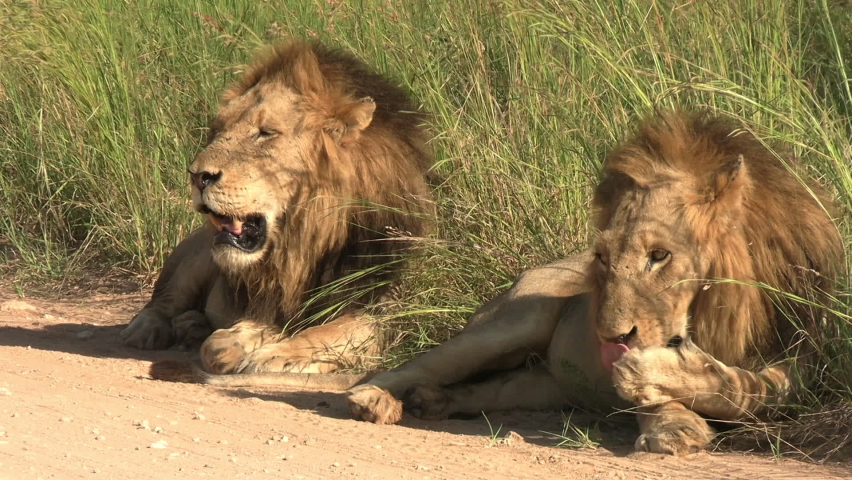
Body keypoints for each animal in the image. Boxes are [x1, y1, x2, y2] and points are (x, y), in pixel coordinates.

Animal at [122, 40, 434, 377]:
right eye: (216, 130)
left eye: (265, 133)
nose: (197, 176)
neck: (305, 246)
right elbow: (230, 339)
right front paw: (252, 341)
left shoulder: (385, 312)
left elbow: (323, 333)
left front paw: (275, 354)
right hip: (197, 258)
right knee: (162, 301)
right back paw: (149, 329)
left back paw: (192, 326)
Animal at [344, 110, 845, 454]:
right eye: (602, 258)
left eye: (659, 255)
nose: (609, 337)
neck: (721, 309)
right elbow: (658, 396)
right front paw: (672, 421)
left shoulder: (803, 360)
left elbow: (749, 389)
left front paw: (678, 376)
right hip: (514, 323)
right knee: (422, 363)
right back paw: (374, 398)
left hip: (547, 384)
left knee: (493, 388)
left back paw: (430, 402)